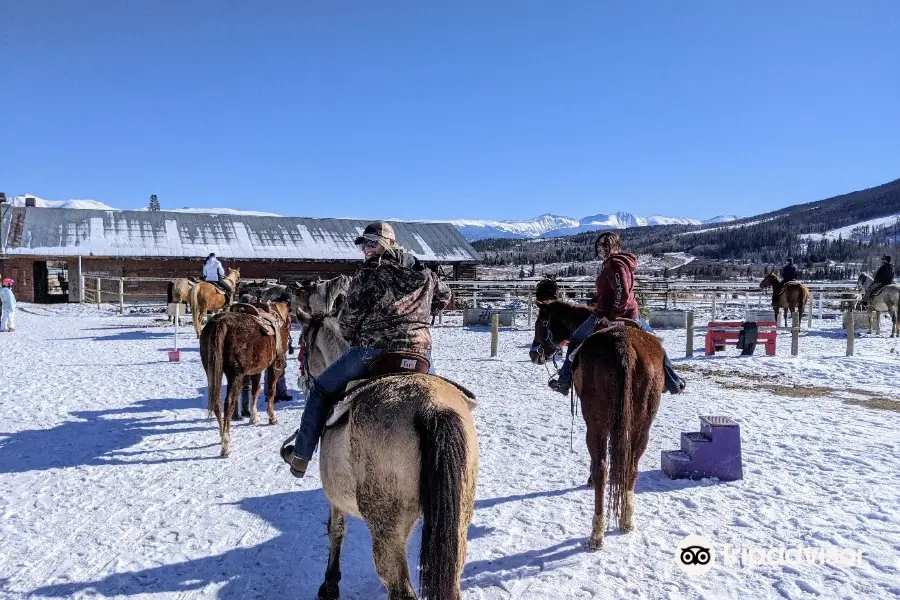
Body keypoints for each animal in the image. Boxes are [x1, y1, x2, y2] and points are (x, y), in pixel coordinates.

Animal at [200, 302, 292, 458]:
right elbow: (271, 390)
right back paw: (226, 444)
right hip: (236, 375)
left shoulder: (256, 369)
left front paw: (253, 417)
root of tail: (220, 323)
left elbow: (255, 390)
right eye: (290, 322)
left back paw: (222, 435)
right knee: (229, 403)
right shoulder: (274, 366)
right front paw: (271, 417)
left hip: (212, 372)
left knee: (217, 402)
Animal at [296, 304, 478, 600]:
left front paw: (330, 584)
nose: (302, 379)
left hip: (385, 526)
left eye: (302, 346)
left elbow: (336, 530)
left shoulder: (335, 496)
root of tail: (430, 407)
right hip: (458, 519)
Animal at [524, 302, 664, 552]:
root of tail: (623, 345)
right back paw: (626, 520)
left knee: (602, 469)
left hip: (595, 421)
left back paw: (596, 533)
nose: (533, 353)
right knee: (631, 466)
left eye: (541, 323)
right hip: (642, 424)